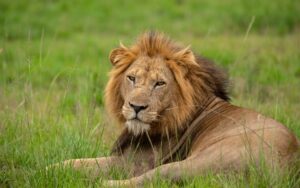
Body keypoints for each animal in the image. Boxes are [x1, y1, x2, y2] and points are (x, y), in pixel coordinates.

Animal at [56, 31, 300, 186]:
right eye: (132, 78)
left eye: (159, 83)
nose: (136, 107)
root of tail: (282, 172)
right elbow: (74, 161)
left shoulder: (134, 162)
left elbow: (79, 163)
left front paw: (51, 170)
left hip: (192, 163)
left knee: (148, 180)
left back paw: (100, 183)